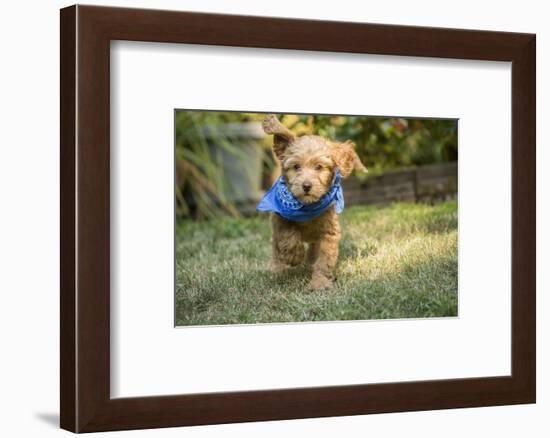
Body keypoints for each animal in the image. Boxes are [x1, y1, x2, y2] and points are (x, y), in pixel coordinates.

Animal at [258, 114, 368, 290]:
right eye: (296, 167)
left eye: (319, 167)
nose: (306, 186)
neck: (307, 207)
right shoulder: (279, 218)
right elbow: (288, 236)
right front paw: (294, 256)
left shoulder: (329, 232)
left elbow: (324, 260)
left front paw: (319, 283)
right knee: (276, 247)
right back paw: (277, 269)